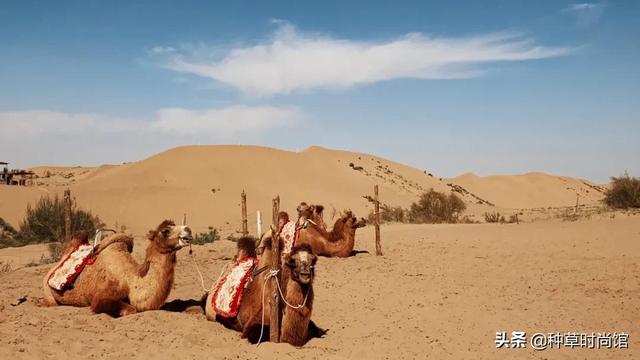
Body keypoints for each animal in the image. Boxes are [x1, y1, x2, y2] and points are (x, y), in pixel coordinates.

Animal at [42, 221, 192, 316]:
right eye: (165, 230)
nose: (188, 230)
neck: (131, 281)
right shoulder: (101, 296)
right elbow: (131, 309)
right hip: (49, 295)